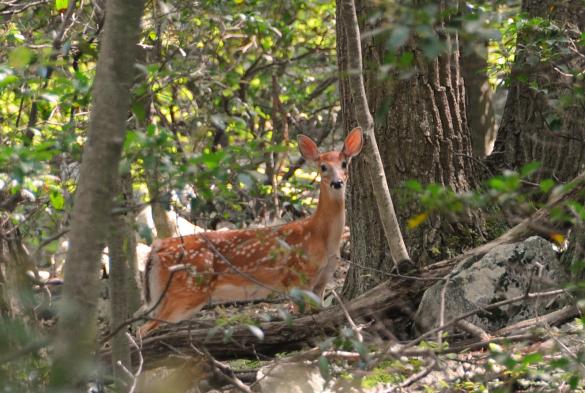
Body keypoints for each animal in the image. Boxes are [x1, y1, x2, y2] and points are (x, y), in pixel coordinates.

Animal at [139, 128, 362, 334]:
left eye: (344, 164)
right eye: (323, 167)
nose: (337, 183)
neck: (321, 236)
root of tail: (156, 249)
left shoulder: (321, 282)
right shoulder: (298, 278)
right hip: (186, 290)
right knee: (142, 329)